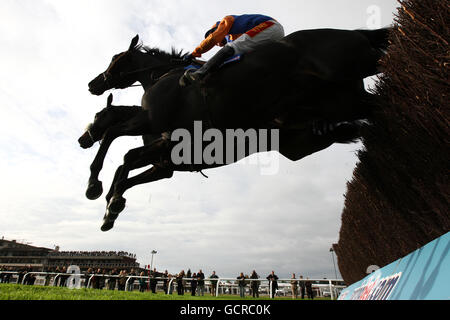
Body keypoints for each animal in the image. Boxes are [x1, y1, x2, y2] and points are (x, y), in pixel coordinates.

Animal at [83, 28, 390, 230]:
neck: (163, 77)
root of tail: (353, 32)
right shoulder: (165, 161)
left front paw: (99, 189)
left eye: (115, 59)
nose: (93, 83)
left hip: (350, 85)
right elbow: (127, 164)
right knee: (362, 119)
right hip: (324, 119)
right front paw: (112, 203)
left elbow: (118, 145)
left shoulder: (157, 129)